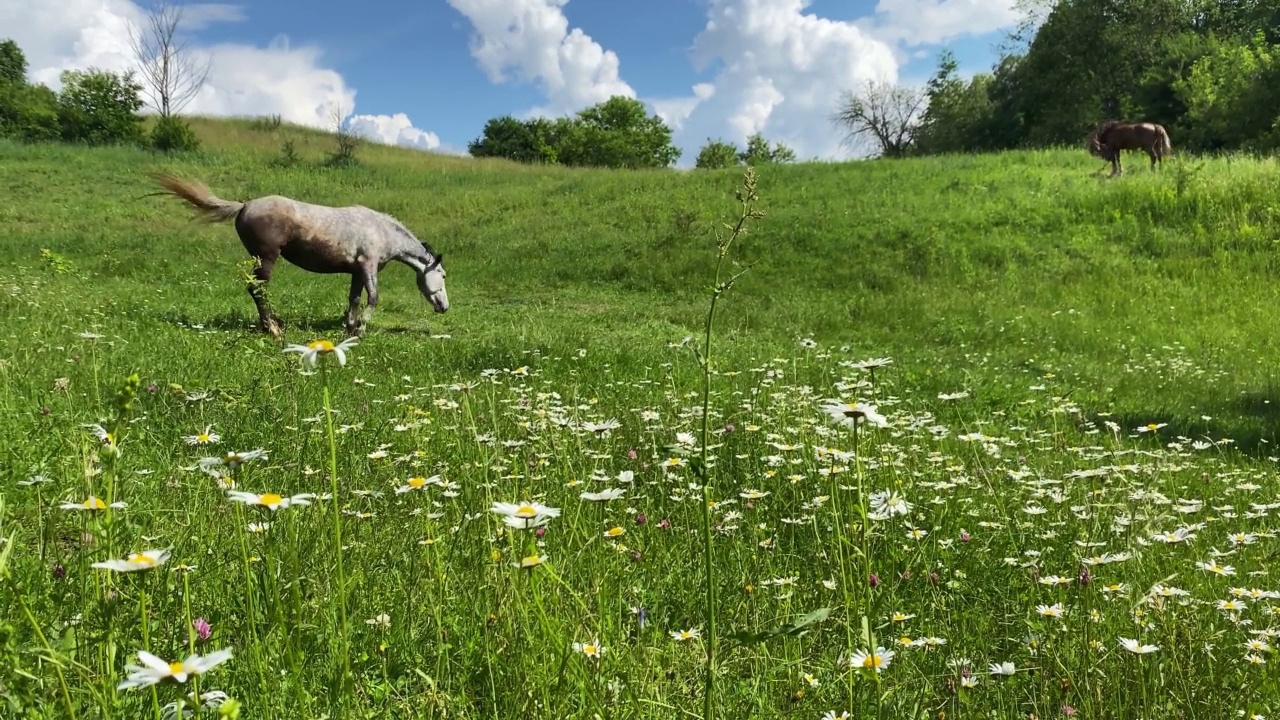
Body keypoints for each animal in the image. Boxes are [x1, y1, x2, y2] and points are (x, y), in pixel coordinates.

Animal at [149, 175, 448, 340]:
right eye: (443, 275)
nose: (444, 307)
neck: (381, 230)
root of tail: (244, 205)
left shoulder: (356, 271)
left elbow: (353, 299)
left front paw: (350, 328)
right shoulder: (368, 266)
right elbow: (373, 298)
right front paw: (361, 331)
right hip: (266, 258)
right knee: (258, 290)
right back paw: (273, 330)